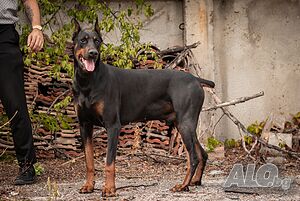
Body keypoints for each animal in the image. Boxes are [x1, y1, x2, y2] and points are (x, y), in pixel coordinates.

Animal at [71, 18, 214, 196]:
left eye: (97, 41)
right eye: (83, 40)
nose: (93, 53)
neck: (88, 82)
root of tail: (195, 79)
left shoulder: (113, 126)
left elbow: (109, 162)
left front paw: (109, 189)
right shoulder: (84, 125)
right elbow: (89, 161)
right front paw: (89, 186)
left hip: (185, 123)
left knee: (193, 157)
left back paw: (183, 185)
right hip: (182, 124)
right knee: (201, 154)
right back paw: (194, 181)